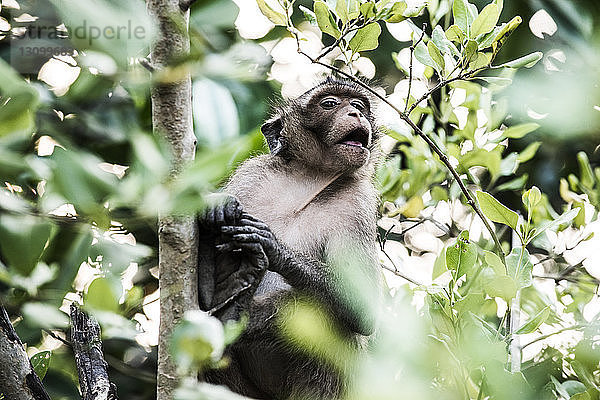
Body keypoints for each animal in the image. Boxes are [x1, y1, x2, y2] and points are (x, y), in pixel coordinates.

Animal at [199, 78, 382, 400]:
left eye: (358, 105)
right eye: (330, 104)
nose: (356, 114)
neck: (307, 179)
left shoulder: (359, 203)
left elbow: (362, 307)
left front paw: (272, 247)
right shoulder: (251, 174)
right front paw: (215, 208)